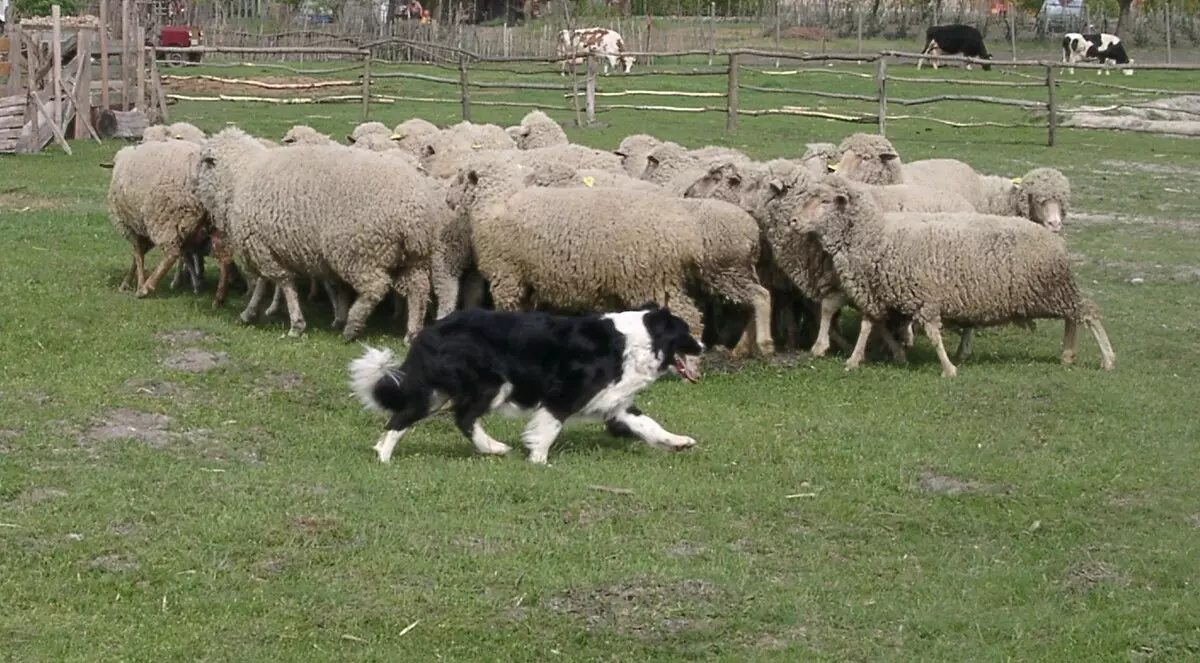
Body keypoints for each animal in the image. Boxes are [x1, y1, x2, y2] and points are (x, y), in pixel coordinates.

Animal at [194, 126, 444, 341]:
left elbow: (282, 282)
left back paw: (352, 326)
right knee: (419, 289)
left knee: (375, 288)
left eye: (204, 162)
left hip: (358, 250)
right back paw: (411, 333)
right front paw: (251, 313)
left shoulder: (259, 244)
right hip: (412, 257)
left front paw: (295, 324)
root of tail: (415, 209)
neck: (239, 177)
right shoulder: (266, 245)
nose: (193, 186)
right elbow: (267, 282)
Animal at [446, 153, 705, 333]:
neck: (497, 200)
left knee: (687, 316)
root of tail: (685, 234)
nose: (448, 199)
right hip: (661, 279)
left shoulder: (507, 275)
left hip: (648, 279)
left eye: (459, 178)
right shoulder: (527, 278)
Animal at [787, 172, 1113, 374]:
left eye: (825, 200)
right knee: (1073, 317)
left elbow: (932, 334)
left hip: (1055, 286)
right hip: (1055, 289)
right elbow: (868, 326)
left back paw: (1107, 359)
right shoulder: (877, 293)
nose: (792, 221)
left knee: (1089, 312)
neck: (876, 235)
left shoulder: (925, 296)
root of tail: (1054, 237)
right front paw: (855, 360)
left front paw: (948, 369)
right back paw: (1068, 354)